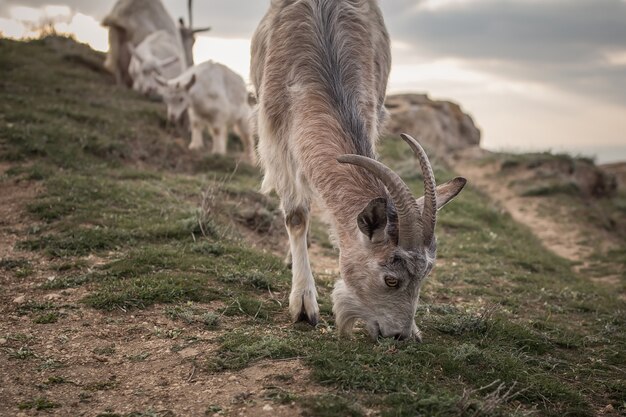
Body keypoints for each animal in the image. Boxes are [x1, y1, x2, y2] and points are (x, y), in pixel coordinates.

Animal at [251, 0, 466, 340]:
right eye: (390, 279)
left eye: (425, 275)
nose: (401, 335)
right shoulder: (276, 136)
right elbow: (296, 216)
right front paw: (304, 305)